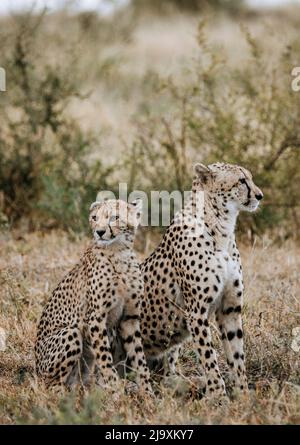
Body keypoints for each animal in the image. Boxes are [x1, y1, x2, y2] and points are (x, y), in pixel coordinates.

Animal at [34, 199, 152, 392]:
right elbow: (105, 359)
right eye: (94, 218)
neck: (118, 252)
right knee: (52, 385)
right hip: (70, 333)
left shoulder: (130, 318)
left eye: (114, 217)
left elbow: (140, 360)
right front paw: (115, 391)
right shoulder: (95, 318)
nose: (100, 232)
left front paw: (148, 393)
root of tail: (36, 369)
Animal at [118, 161, 264, 398]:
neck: (221, 228)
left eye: (250, 178)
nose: (260, 195)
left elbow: (237, 356)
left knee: (166, 376)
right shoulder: (196, 312)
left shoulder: (230, 309)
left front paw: (243, 395)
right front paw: (219, 396)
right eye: (241, 181)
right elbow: (209, 358)